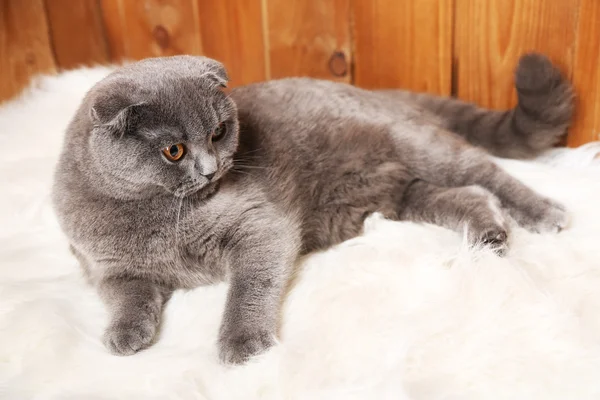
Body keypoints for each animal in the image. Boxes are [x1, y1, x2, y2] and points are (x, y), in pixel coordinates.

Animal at [51, 54, 572, 366]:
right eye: (174, 150)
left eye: (219, 132)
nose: (212, 168)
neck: (162, 215)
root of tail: (379, 93)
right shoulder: (108, 267)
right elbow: (126, 297)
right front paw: (123, 335)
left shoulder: (261, 225)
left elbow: (249, 287)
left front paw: (243, 344)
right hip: (401, 192)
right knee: (467, 195)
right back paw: (489, 237)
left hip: (418, 145)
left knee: (486, 173)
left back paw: (546, 215)